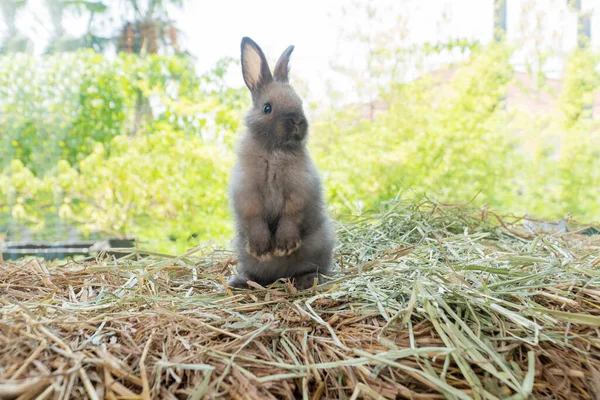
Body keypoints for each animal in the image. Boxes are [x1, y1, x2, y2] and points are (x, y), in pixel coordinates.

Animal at [226, 36, 336, 290]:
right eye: (267, 107)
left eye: (300, 102)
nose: (297, 121)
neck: (274, 152)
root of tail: (279, 277)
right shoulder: (248, 193)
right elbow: (255, 218)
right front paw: (262, 249)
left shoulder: (298, 189)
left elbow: (291, 215)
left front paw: (285, 246)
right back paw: (242, 282)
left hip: (318, 246)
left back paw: (305, 280)